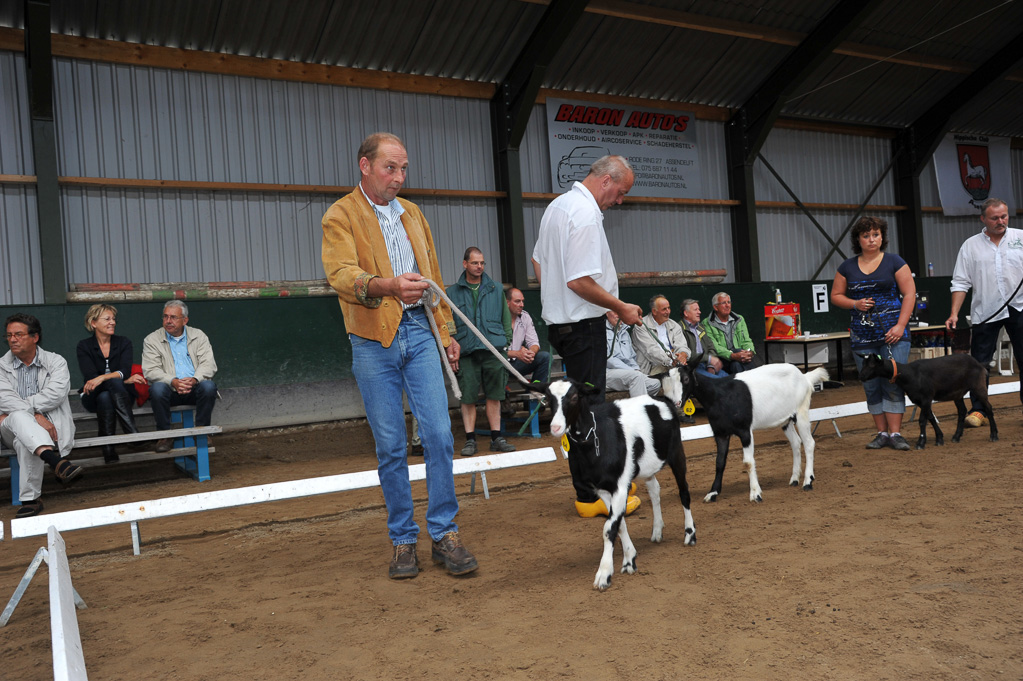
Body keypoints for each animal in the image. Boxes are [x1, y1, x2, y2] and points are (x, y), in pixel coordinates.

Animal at [536, 366, 695, 588]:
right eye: (548, 398)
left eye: (575, 396)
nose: (556, 427)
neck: (597, 440)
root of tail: (666, 401)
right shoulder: (603, 489)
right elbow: (618, 524)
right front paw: (629, 559)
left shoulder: (620, 485)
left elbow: (609, 527)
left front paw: (604, 574)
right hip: (647, 465)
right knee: (655, 490)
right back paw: (657, 531)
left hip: (676, 453)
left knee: (684, 492)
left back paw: (690, 534)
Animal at [687, 364, 830, 501]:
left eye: (686, 378)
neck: (718, 394)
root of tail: (805, 377)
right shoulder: (720, 433)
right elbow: (719, 462)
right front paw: (712, 493)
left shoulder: (745, 431)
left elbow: (748, 462)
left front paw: (756, 494)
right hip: (786, 420)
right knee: (795, 442)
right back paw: (794, 479)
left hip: (801, 411)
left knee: (808, 442)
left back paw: (808, 482)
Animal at [855, 351, 998, 447]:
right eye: (863, 363)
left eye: (872, 365)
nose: (861, 376)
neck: (909, 374)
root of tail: (979, 363)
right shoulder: (921, 400)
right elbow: (931, 418)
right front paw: (939, 439)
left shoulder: (925, 398)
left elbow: (922, 421)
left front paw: (921, 442)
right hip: (958, 392)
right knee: (962, 411)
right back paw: (956, 436)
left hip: (978, 386)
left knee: (988, 408)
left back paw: (994, 435)